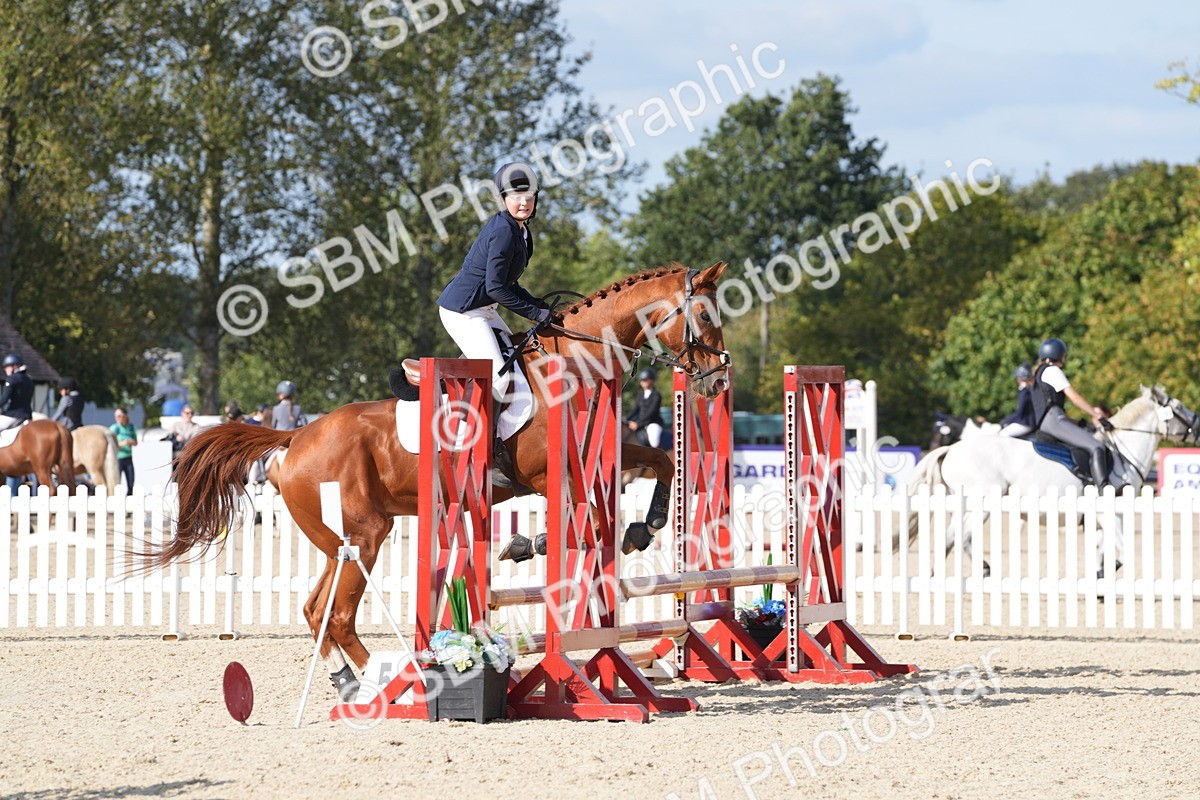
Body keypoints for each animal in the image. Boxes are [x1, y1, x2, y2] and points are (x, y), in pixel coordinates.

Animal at [144, 262, 732, 697]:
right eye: (703, 315)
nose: (717, 379)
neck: (576, 360)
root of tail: (295, 438)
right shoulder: (551, 472)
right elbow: (576, 523)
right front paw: (528, 544)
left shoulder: (603, 455)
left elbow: (662, 462)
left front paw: (644, 526)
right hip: (366, 536)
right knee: (339, 615)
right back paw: (395, 677)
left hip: (340, 543)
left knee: (317, 610)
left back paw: (348, 681)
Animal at [907, 386, 1198, 570]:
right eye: (1180, 407)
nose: (1197, 427)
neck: (1121, 453)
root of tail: (950, 450)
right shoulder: (1107, 513)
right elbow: (1122, 550)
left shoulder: (1108, 515)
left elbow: (1104, 548)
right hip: (981, 504)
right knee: (959, 537)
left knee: (952, 537)